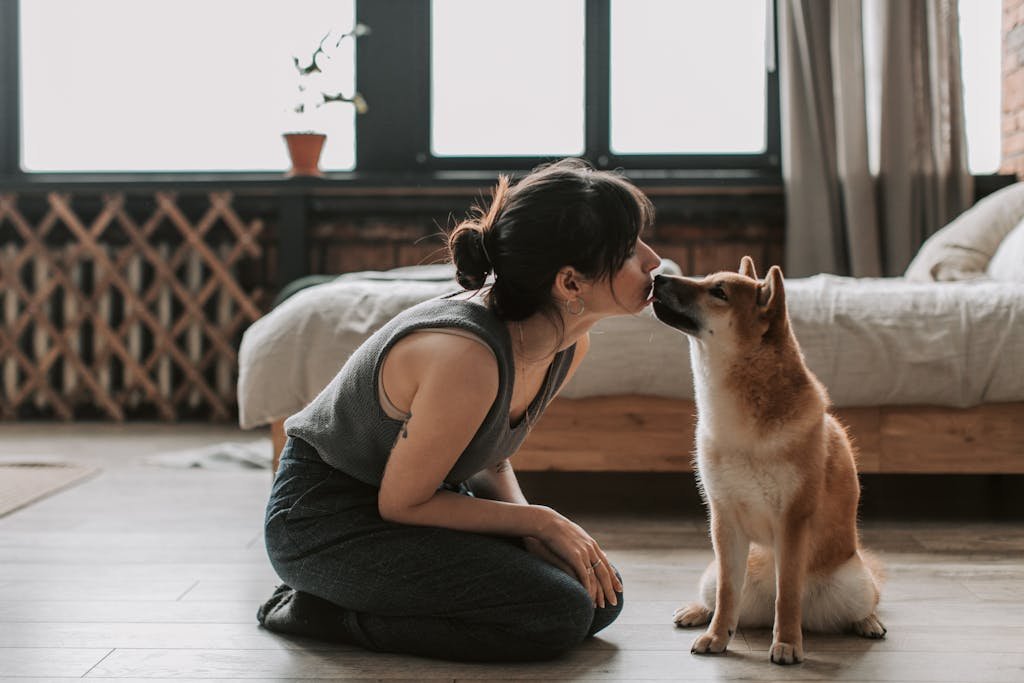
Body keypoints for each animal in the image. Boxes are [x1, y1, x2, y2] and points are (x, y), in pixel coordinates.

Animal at [651, 254, 884, 663]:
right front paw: (717, 636)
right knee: (719, 598)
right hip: (713, 572)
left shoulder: (792, 520)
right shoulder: (724, 519)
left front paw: (788, 643)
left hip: (852, 582)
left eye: (718, 292)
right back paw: (697, 612)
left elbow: (787, 593)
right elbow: (728, 593)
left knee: (862, 602)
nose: (657, 277)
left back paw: (867, 622)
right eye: (706, 279)